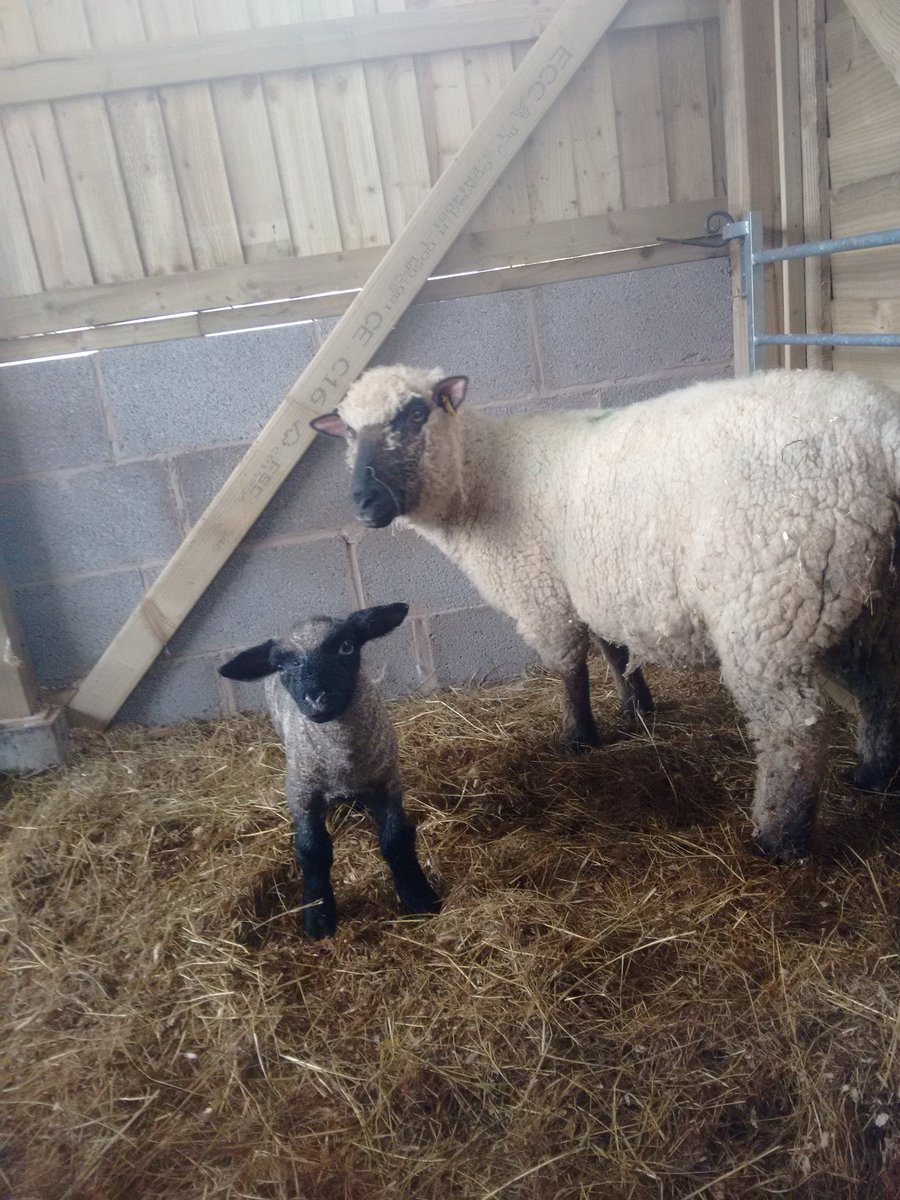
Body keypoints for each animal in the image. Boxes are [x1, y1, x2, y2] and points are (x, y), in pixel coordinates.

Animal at [219, 603, 441, 938]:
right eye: (281, 667)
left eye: (346, 647)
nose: (317, 699)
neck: (341, 759)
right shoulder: (301, 794)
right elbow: (312, 852)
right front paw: (318, 915)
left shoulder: (388, 780)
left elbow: (395, 839)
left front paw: (417, 894)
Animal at [311, 364, 900, 863]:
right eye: (346, 432)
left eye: (414, 414)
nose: (364, 503)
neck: (480, 476)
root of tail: (878, 429)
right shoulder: (594, 588)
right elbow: (613, 650)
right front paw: (636, 708)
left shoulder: (544, 594)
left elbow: (569, 668)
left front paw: (577, 737)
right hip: (864, 601)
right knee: (879, 687)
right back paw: (874, 774)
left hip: (771, 602)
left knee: (794, 726)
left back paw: (780, 839)